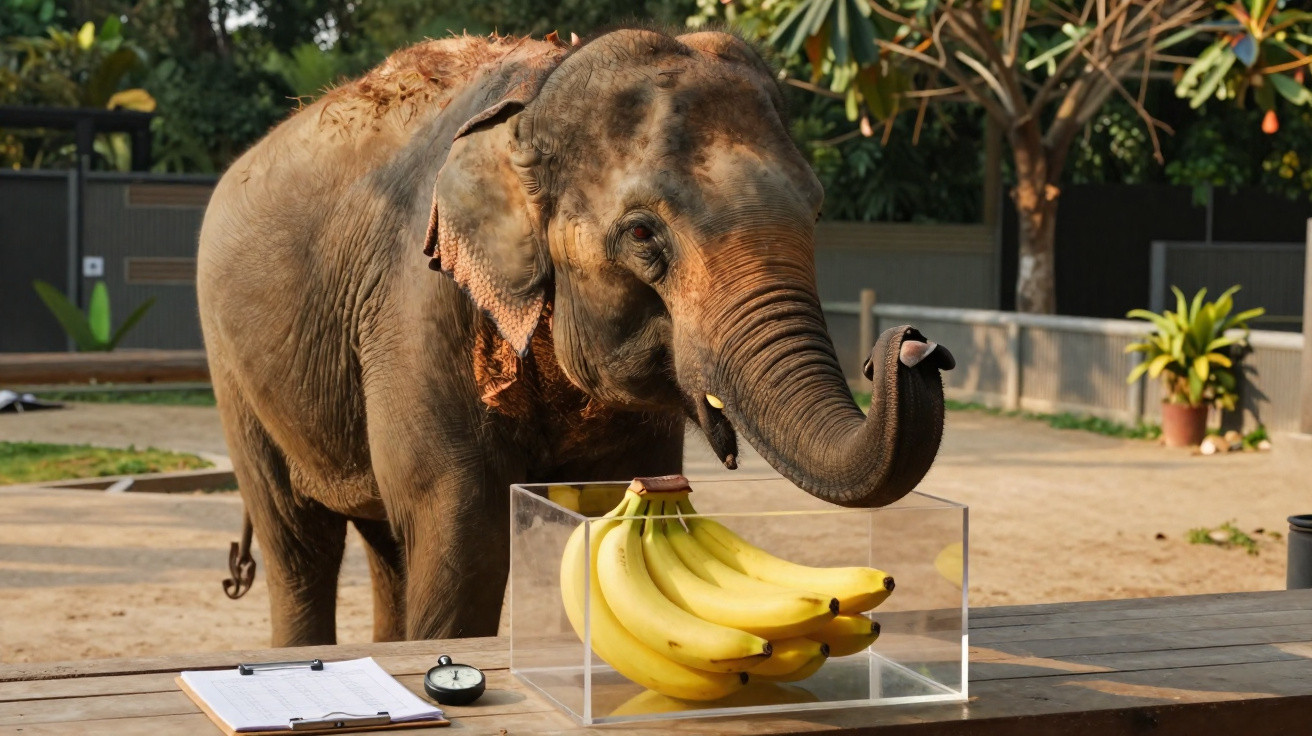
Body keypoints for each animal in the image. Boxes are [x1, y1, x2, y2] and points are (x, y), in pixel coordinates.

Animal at [197, 27, 954, 648]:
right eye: (644, 233)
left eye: (817, 211)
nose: (917, 346)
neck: (533, 100)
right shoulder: (417, 302)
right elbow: (460, 527)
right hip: (232, 368)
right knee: (300, 542)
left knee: (384, 544)